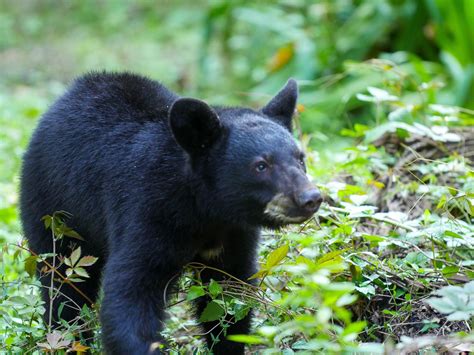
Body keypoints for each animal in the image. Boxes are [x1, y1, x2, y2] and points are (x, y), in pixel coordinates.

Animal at [19, 73, 322, 355]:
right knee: (63, 285)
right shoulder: (148, 210)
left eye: (300, 158)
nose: (311, 198)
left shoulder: (236, 234)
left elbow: (229, 296)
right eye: (261, 165)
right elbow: (131, 295)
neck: (206, 210)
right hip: (54, 209)